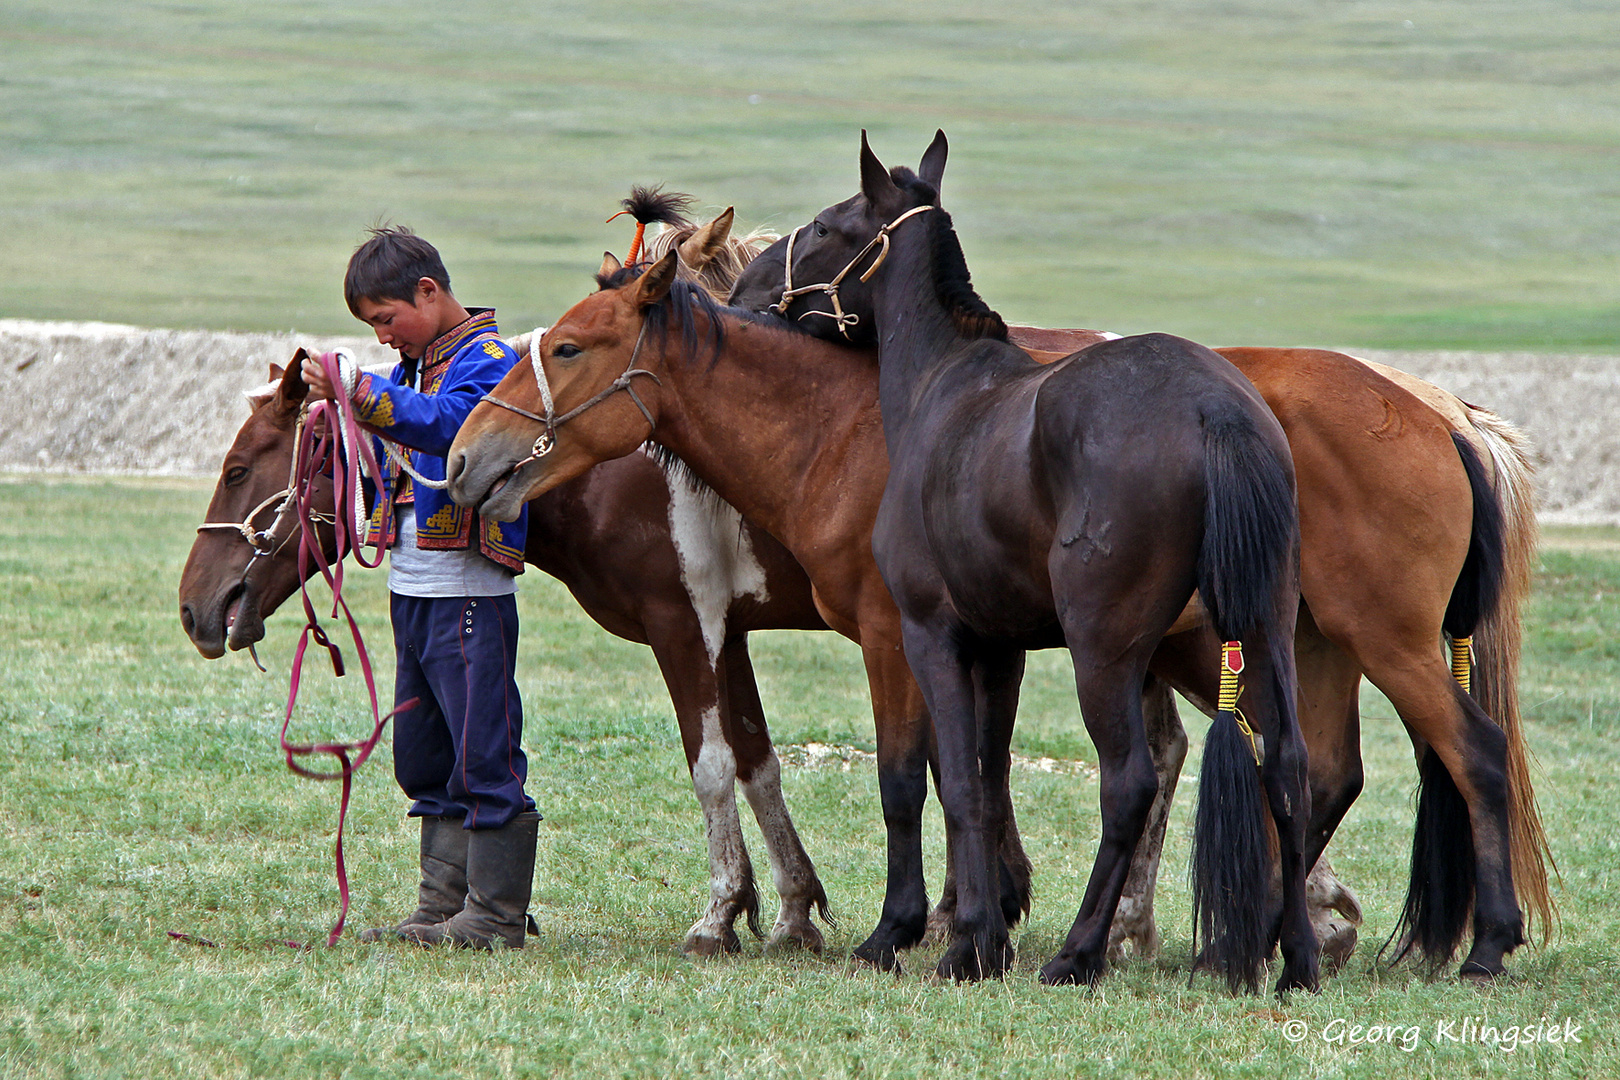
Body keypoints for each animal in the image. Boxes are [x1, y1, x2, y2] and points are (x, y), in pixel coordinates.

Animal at [729, 131, 1548, 977]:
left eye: (825, 226)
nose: (748, 287)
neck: (946, 391)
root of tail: (1213, 405)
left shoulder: (929, 635)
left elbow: (953, 783)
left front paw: (960, 942)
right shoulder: (997, 647)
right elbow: (987, 786)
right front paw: (985, 930)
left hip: (1133, 647)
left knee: (1138, 782)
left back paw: (1086, 950)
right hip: (1281, 634)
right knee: (1297, 768)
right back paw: (1287, 953)